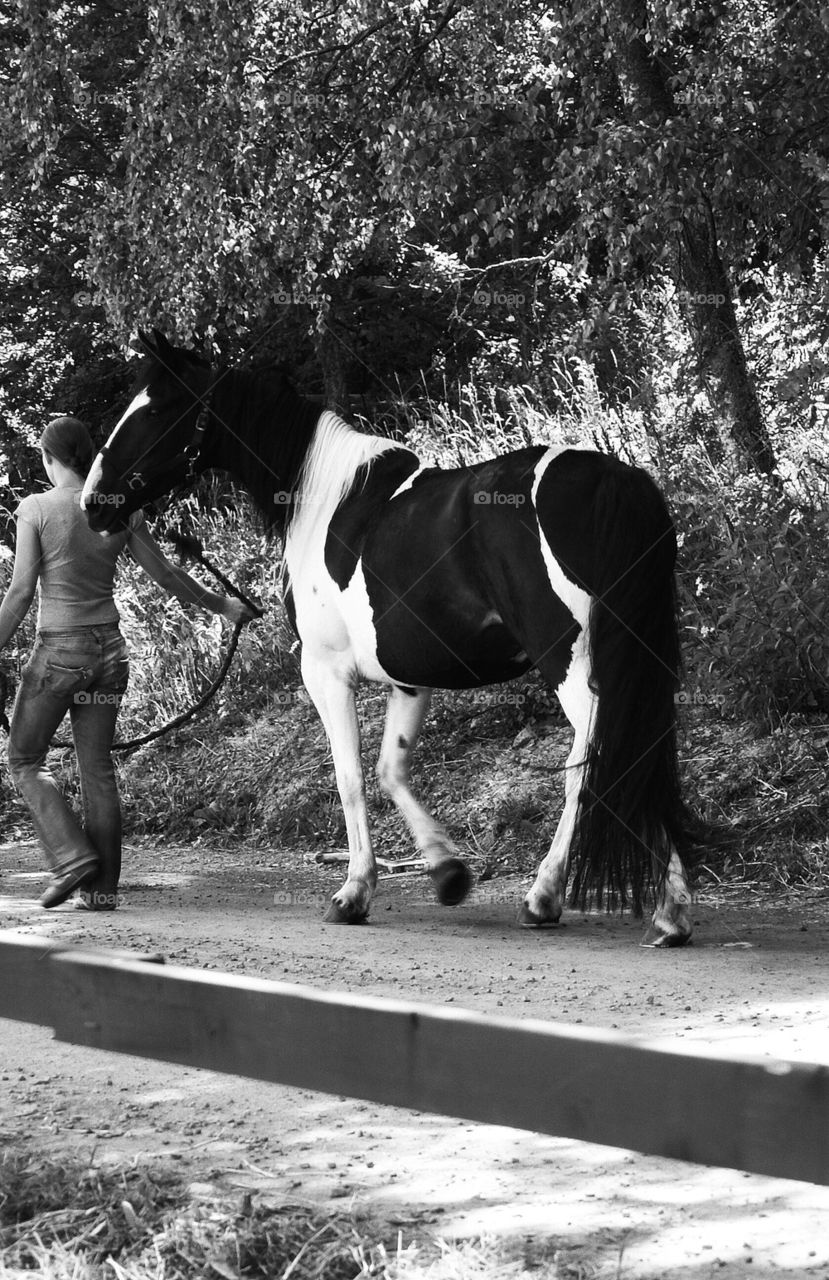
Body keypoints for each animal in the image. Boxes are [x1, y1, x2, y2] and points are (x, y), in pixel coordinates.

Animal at [82, 329, 696, 945]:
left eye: (156, 408)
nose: (93, 503)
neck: (324, 499)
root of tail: (614, 482)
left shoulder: (325, 673)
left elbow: (350, 776)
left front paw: (353, 892)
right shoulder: (410, 678)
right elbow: (390, 771)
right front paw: (447, 873)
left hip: (570, 662)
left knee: (596, 758)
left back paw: (561, 899)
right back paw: (664, 910)